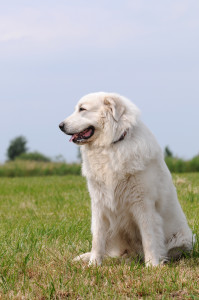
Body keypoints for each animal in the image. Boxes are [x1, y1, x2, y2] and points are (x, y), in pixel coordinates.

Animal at [58, 92, 194, 266]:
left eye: (82, 109)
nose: (60, 125)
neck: (110, 146)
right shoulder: (98, 204)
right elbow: (97, 238)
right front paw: (93, 264)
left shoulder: (144, 205)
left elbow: (149, 238)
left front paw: (152, 265)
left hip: (183, 239)